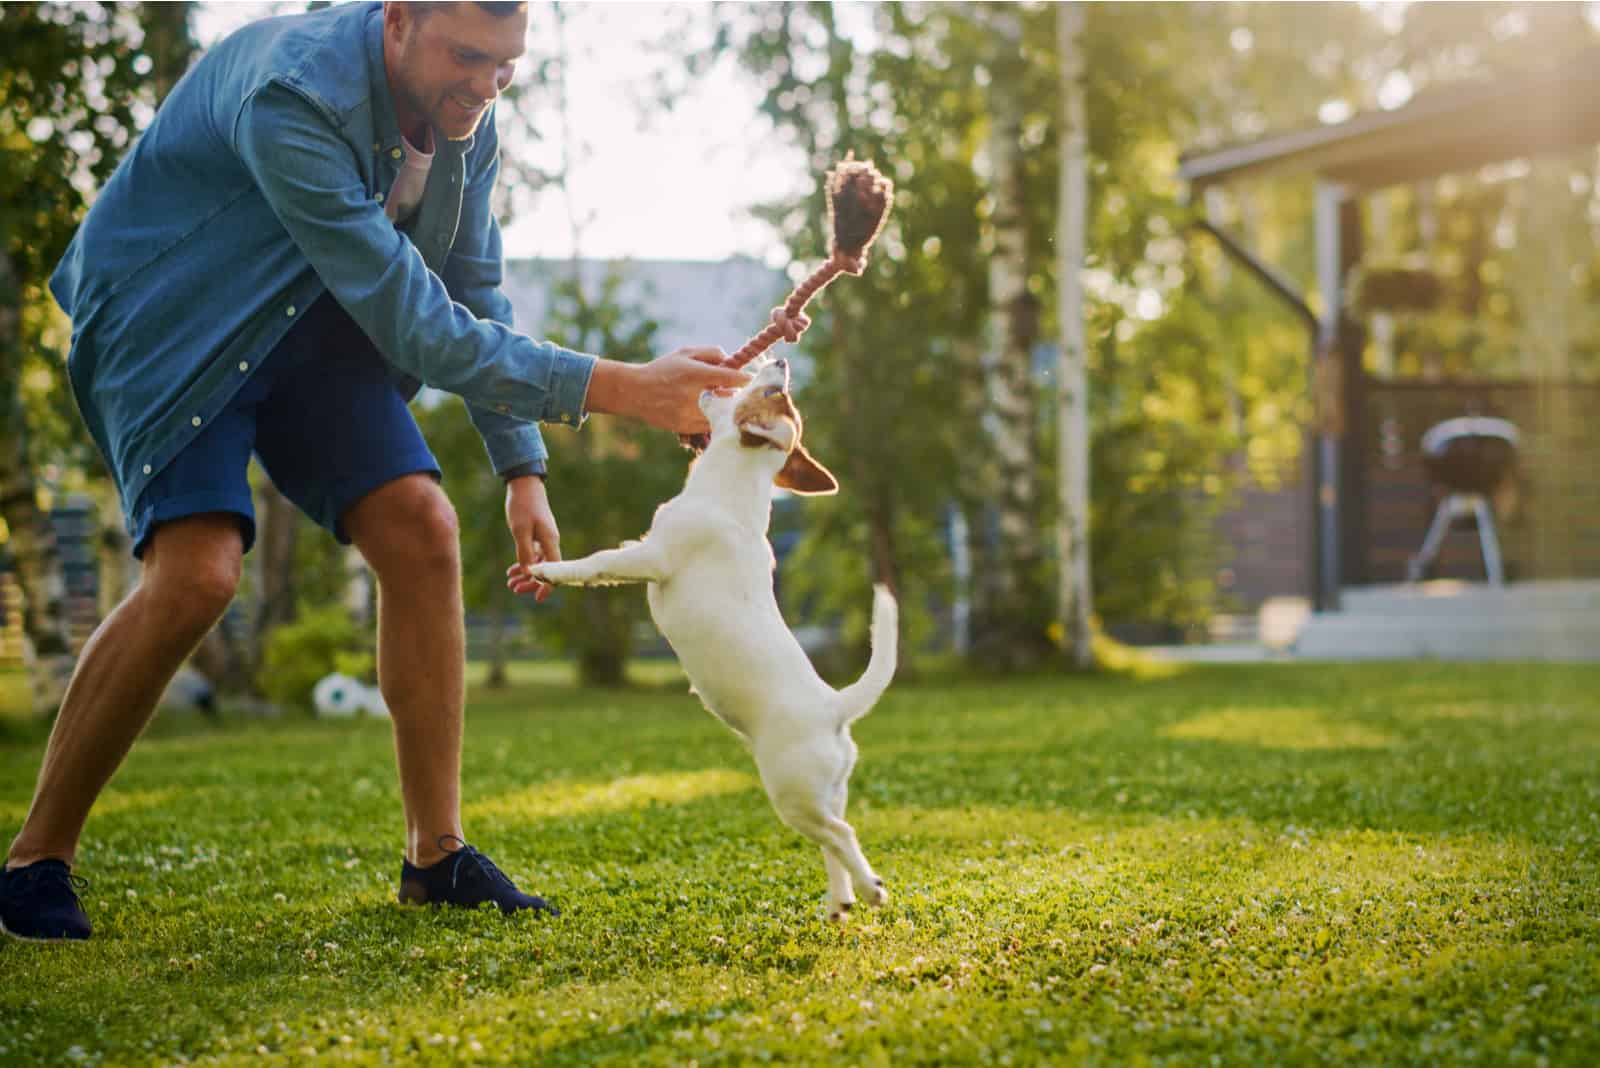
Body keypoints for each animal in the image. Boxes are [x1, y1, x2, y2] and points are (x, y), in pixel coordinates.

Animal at [528, 356, 896, 920]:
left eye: (768, 391)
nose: (780, 359)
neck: (731, 487)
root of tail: (834, 707)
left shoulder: (649, 558)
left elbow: (597, 564)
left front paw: (550, 569)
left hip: (792, 794)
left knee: (842, 834)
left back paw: (870, 886)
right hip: (822, 792)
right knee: (830, 841)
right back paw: (840, 900)